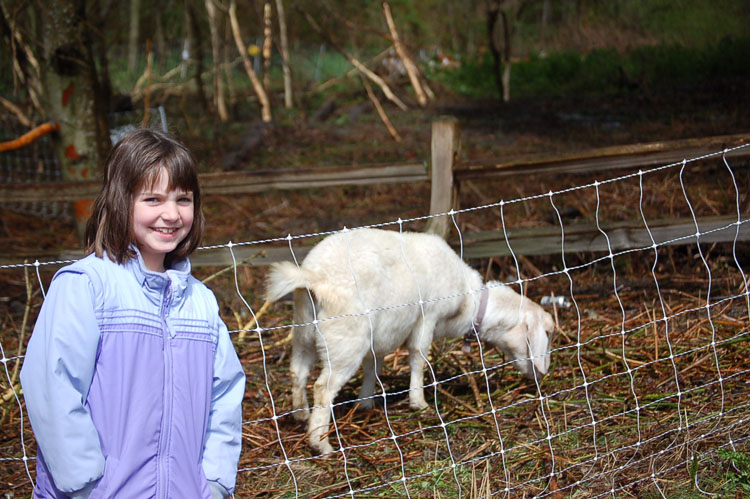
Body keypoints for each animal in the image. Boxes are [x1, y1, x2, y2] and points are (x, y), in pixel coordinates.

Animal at [265, 228, 554, 454]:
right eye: (547, 334)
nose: (543, 374)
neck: (469, 303)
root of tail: (314, 277)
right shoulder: (428, 316)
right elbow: (418, 357)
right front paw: (419, 402)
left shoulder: (380, 337)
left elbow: (373, 367)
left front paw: (365, 403)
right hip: (346, 340)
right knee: (323, 388)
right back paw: (321, 444)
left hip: (304, 333)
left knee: (298, 372)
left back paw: (301, 414)